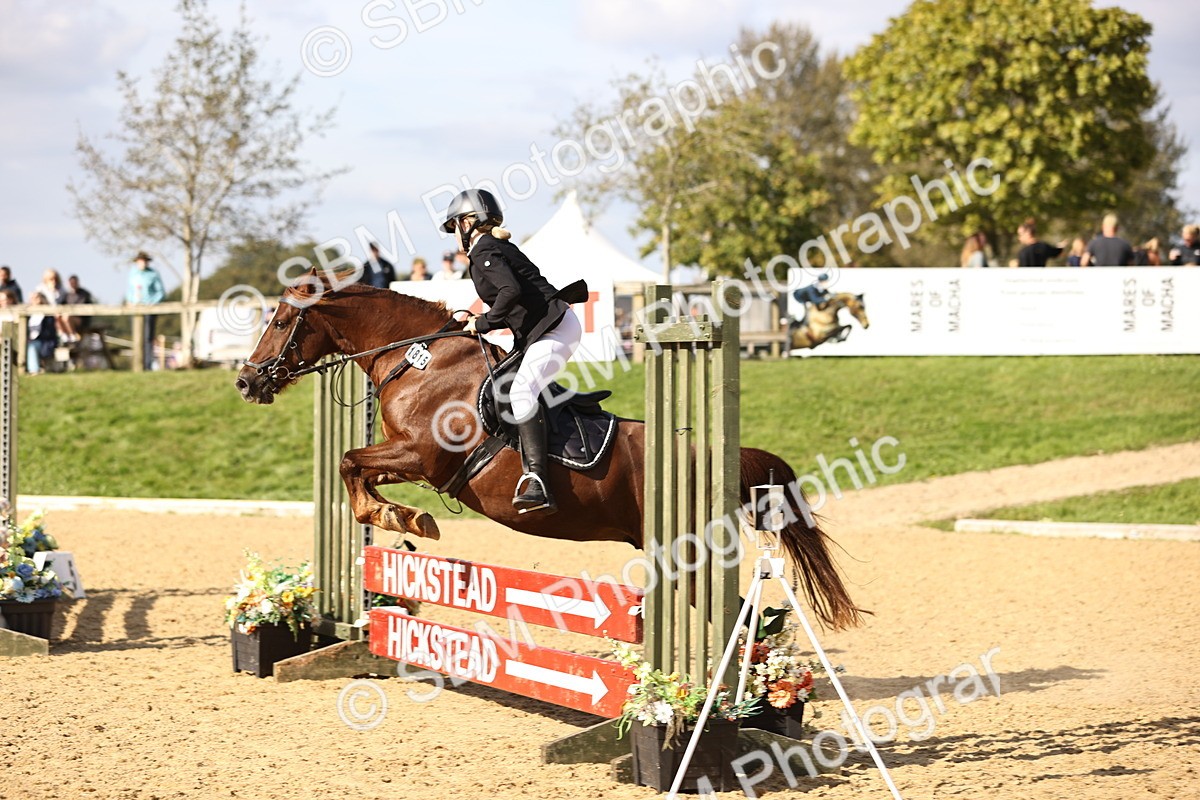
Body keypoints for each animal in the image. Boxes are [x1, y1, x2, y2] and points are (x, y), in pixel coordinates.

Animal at [235, 276, 865, 629]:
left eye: (282, 320)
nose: (246, 381)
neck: (417, 360)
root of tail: (715, 460)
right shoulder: (406, 457)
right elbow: (353, 466)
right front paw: (399, 517)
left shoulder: (421, 456)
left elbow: (350, 462)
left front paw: (401, 517)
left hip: (686, 555)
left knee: (735, 614)